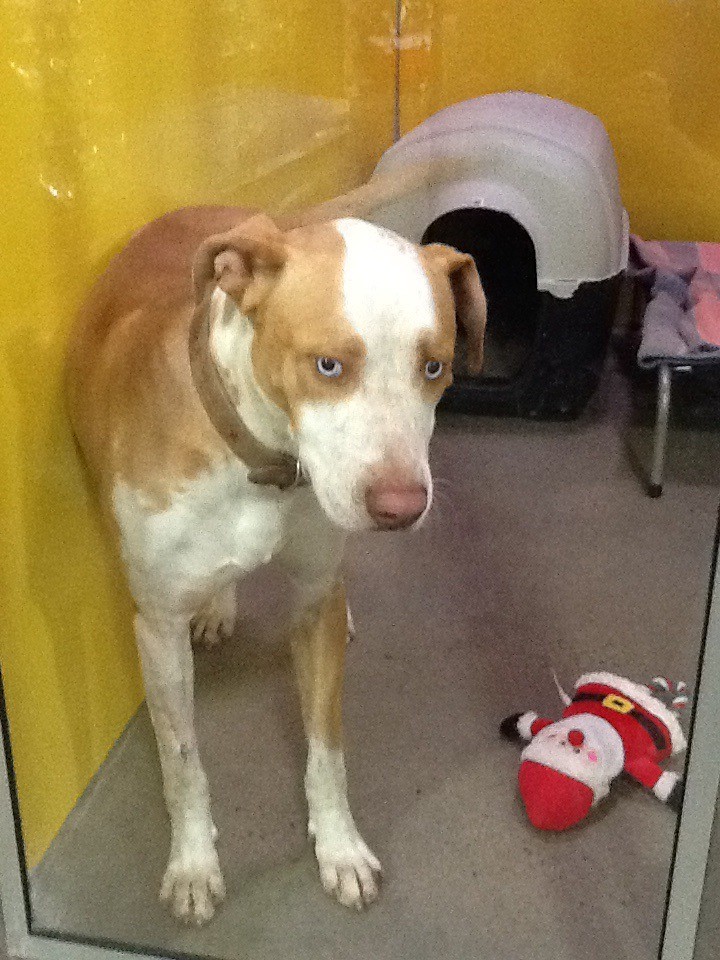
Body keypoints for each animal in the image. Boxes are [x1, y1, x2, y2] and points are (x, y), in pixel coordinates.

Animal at [65, 164, 486, 924]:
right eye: (327, 366)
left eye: (435, 369)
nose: (402, 508)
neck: (263, 464)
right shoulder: (157, 627)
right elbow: (182, 760)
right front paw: (193, 864)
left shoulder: (315, 600)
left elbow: (327, 748)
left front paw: (340, 848)